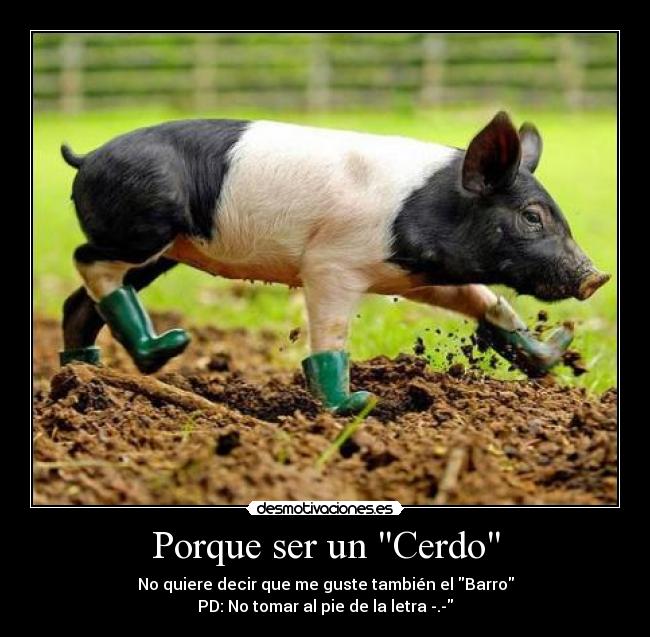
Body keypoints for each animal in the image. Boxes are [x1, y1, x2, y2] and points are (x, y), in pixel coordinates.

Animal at [59, 111, 610, 414]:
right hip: (143, 227)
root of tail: (87, 157)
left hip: (164, 250)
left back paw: (91, 372)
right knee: (87, 261)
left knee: (78, 302)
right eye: (532, 216)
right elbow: (331, 341)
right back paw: (166, 348)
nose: (596, 277)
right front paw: (358, 405)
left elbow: (485, 300)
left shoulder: (416, 275)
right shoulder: (331, 266)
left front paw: (556, 349)